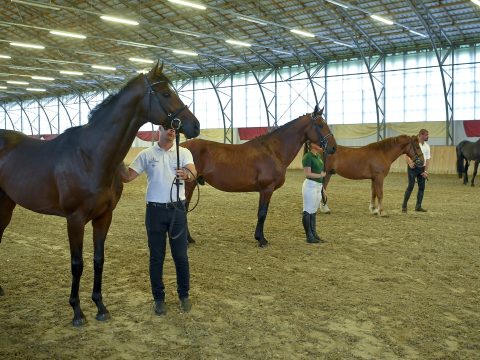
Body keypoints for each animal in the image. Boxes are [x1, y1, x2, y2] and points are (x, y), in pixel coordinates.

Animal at [0, 62, 201, 326]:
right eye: (166, 93)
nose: (195, 126)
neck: (90, 156)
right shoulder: (74, 220)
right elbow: (77, 264)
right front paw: (77, 312)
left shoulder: (104, 217)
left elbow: (98, 260)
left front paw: (100, 307)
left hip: (6, 204)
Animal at [182, 107, 336, 248]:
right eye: (320, 125)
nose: (334, 148)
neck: (273, 152)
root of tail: (182, 146)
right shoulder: (266, 189)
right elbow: (262, 214)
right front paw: (261, 240)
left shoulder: (267, 190)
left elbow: (263, 213)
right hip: (188, 185)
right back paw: (187, 240)